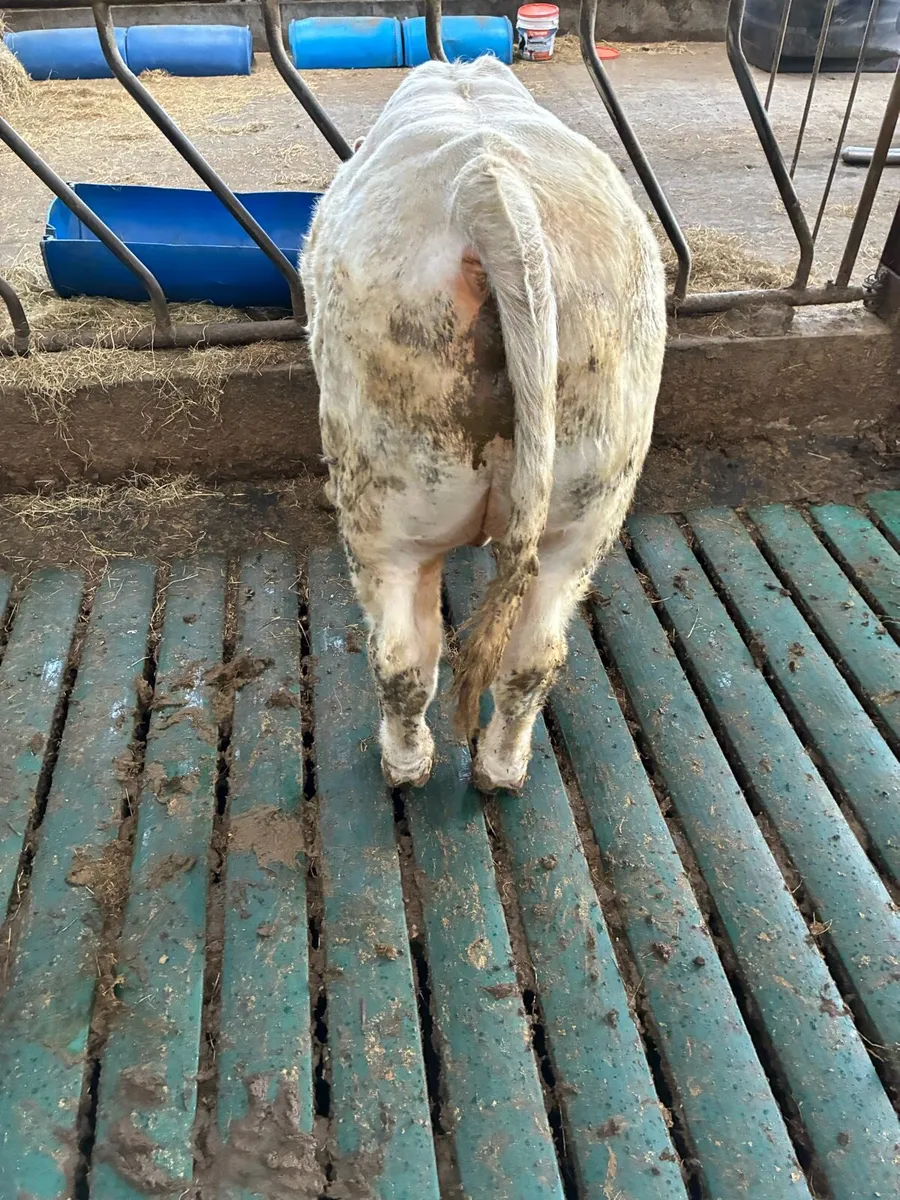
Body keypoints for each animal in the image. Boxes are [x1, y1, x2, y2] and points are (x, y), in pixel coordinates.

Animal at [301, 55, 666, 793]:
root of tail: (488, 181)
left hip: (388, 508)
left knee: (403, 657)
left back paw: (405, 764)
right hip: (590, 498)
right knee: (534, 656)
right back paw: (502, 769)